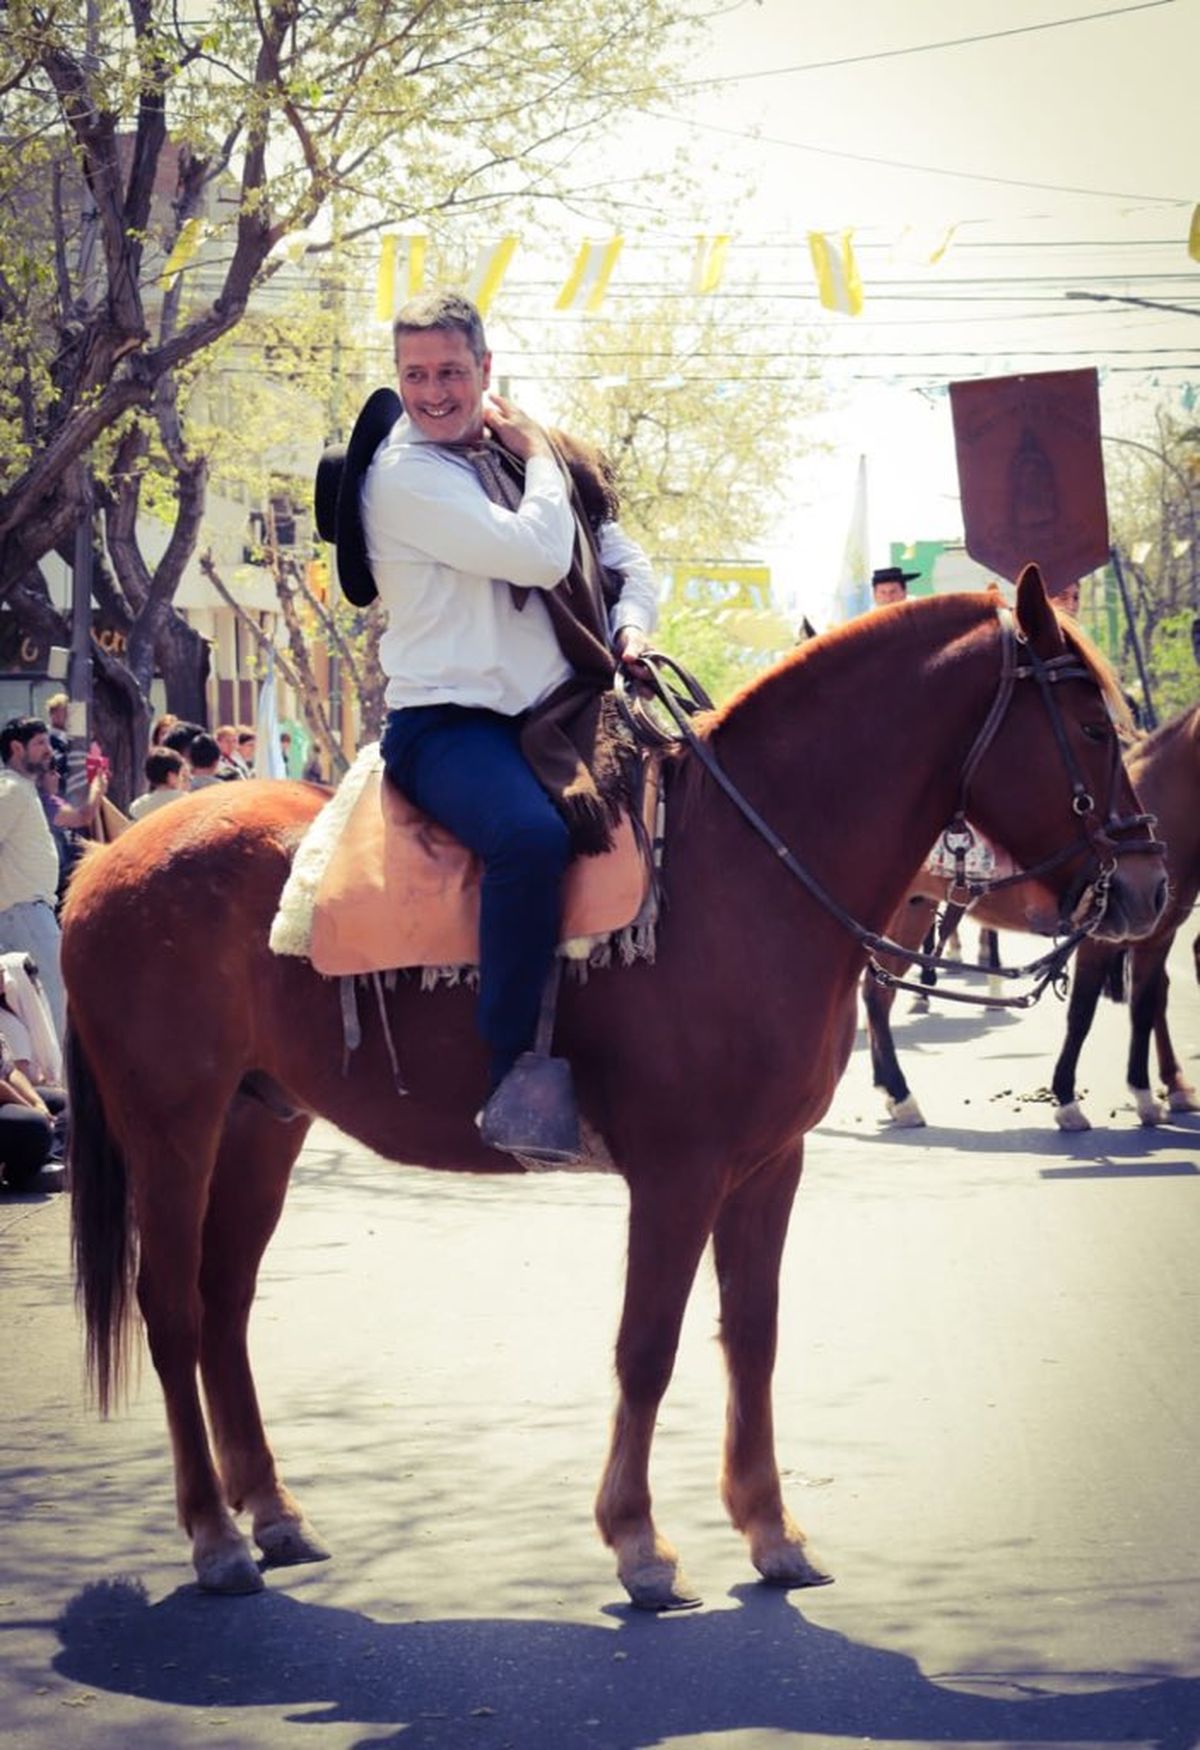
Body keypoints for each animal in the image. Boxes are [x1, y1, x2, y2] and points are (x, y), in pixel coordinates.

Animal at [871, 700, 1200, 1127]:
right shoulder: (1098, 940)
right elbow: (1082, 1014)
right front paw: (1067, 1100)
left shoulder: (1157, 937)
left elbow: (1144, 1008)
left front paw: (1146, 1094)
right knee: (876, 992)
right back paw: (901, 1093)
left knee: (875, 990)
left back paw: (889, 1088)